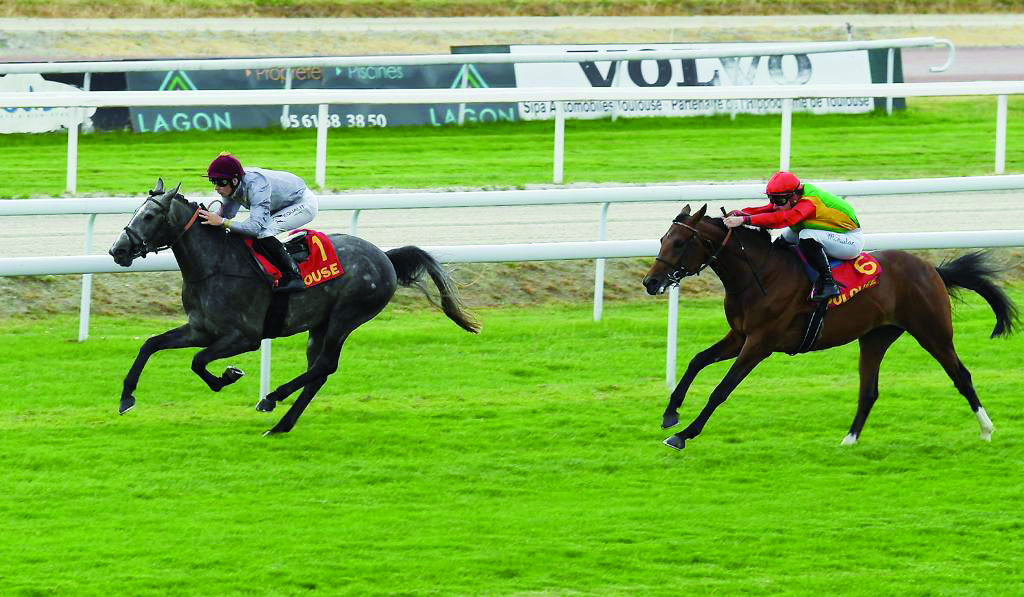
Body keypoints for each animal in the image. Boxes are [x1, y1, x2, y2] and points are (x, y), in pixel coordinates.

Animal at [638, 202, 1015, 450]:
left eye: (680, 242)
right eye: (662, 238)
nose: (651, 282)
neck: (760, 275)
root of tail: (932, 269)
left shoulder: (760, 343)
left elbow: (722, 389)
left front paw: (683, 435)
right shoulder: (740, 335)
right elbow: (697, 360)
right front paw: (670, 413)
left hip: (932, 330)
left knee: (961, 376)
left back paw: (986, 429)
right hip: (875, 337)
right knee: (869, 390)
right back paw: (849, 440)